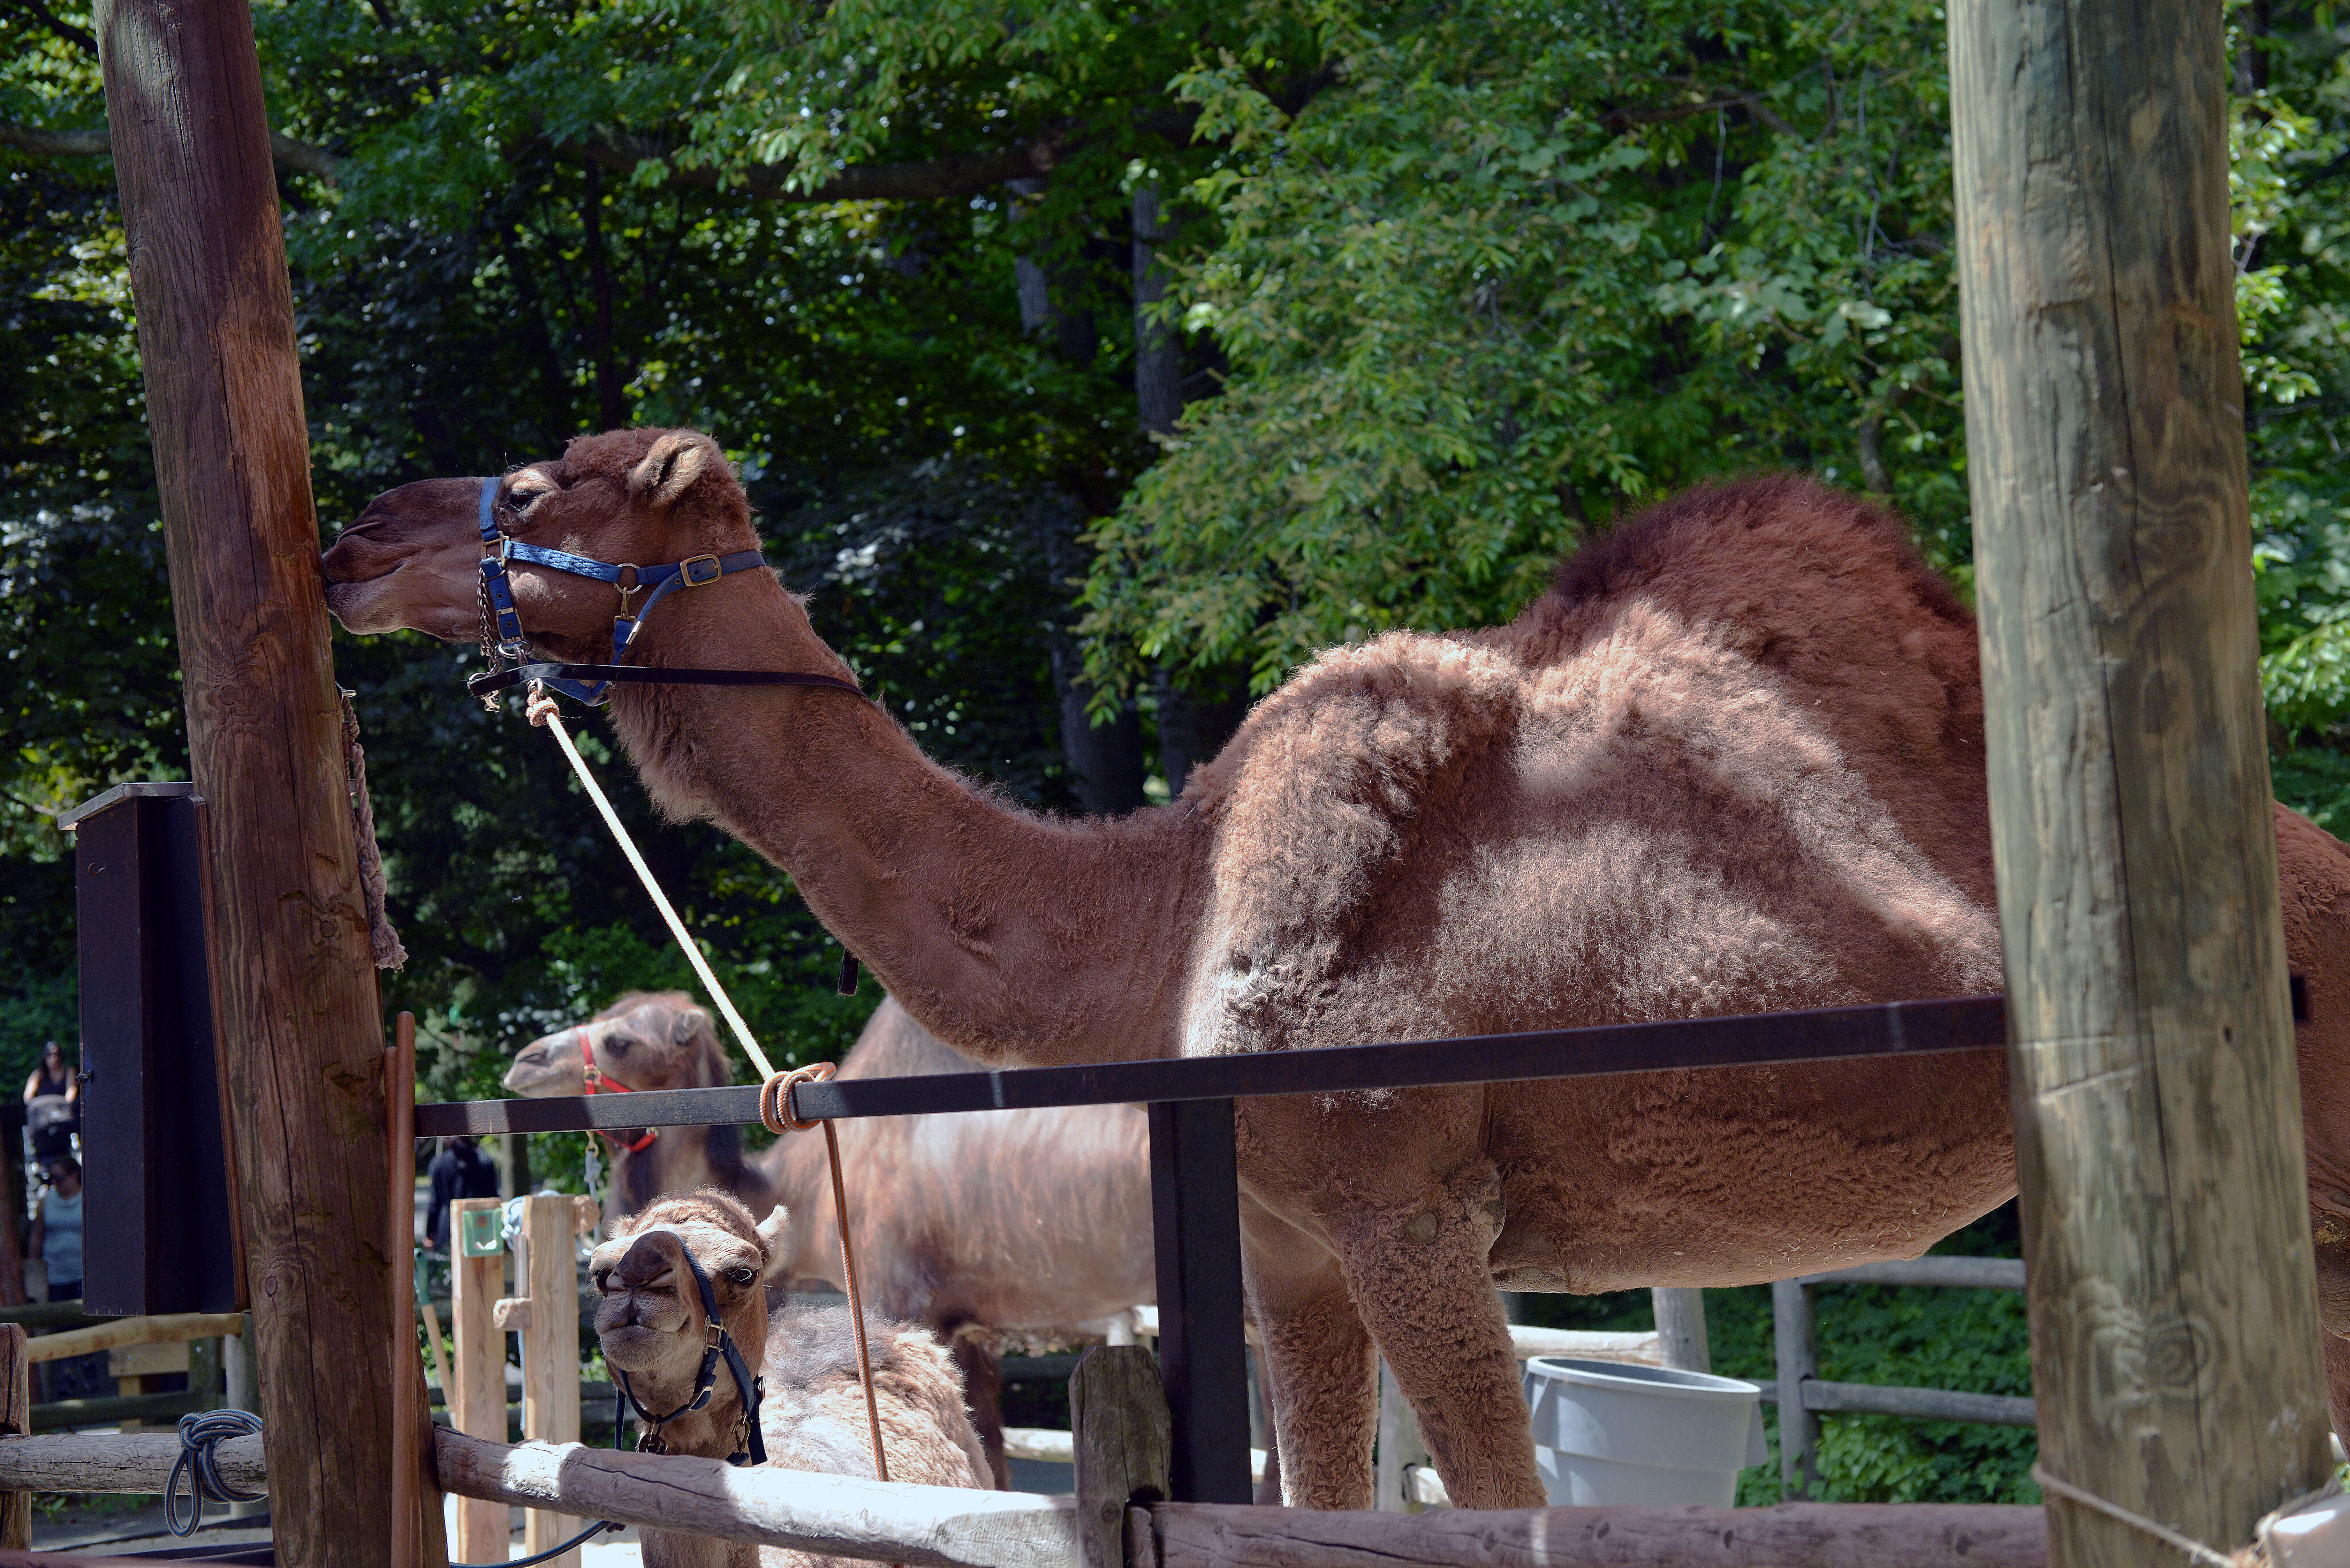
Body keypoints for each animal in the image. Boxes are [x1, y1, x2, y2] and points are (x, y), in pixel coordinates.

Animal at [510, 992, 1151, 1486]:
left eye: (620, 1040)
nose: (524, 1061)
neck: (811, 1191)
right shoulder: (972, 1324)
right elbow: (988, 1442)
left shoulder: (903, 1299)